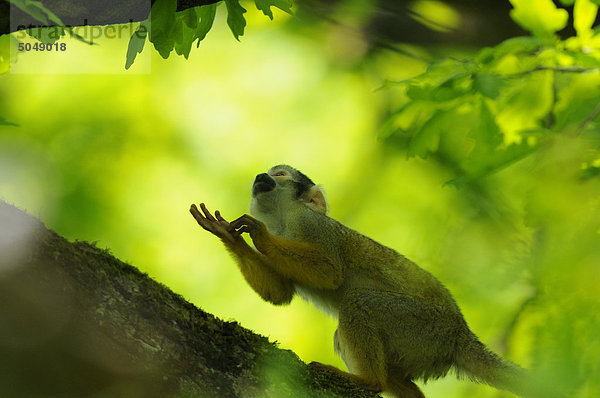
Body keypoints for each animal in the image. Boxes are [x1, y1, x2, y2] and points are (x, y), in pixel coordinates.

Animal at [191, 164, 556, 398]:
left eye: (280, 175)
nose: (261, 176)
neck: (282, 219)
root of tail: (461, 334)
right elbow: (280, 293)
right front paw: (227, 235)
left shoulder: (310, 223)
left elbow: (329, 271)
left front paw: (259, 232)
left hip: (424, 326)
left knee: (358, 303)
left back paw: (369, 382)